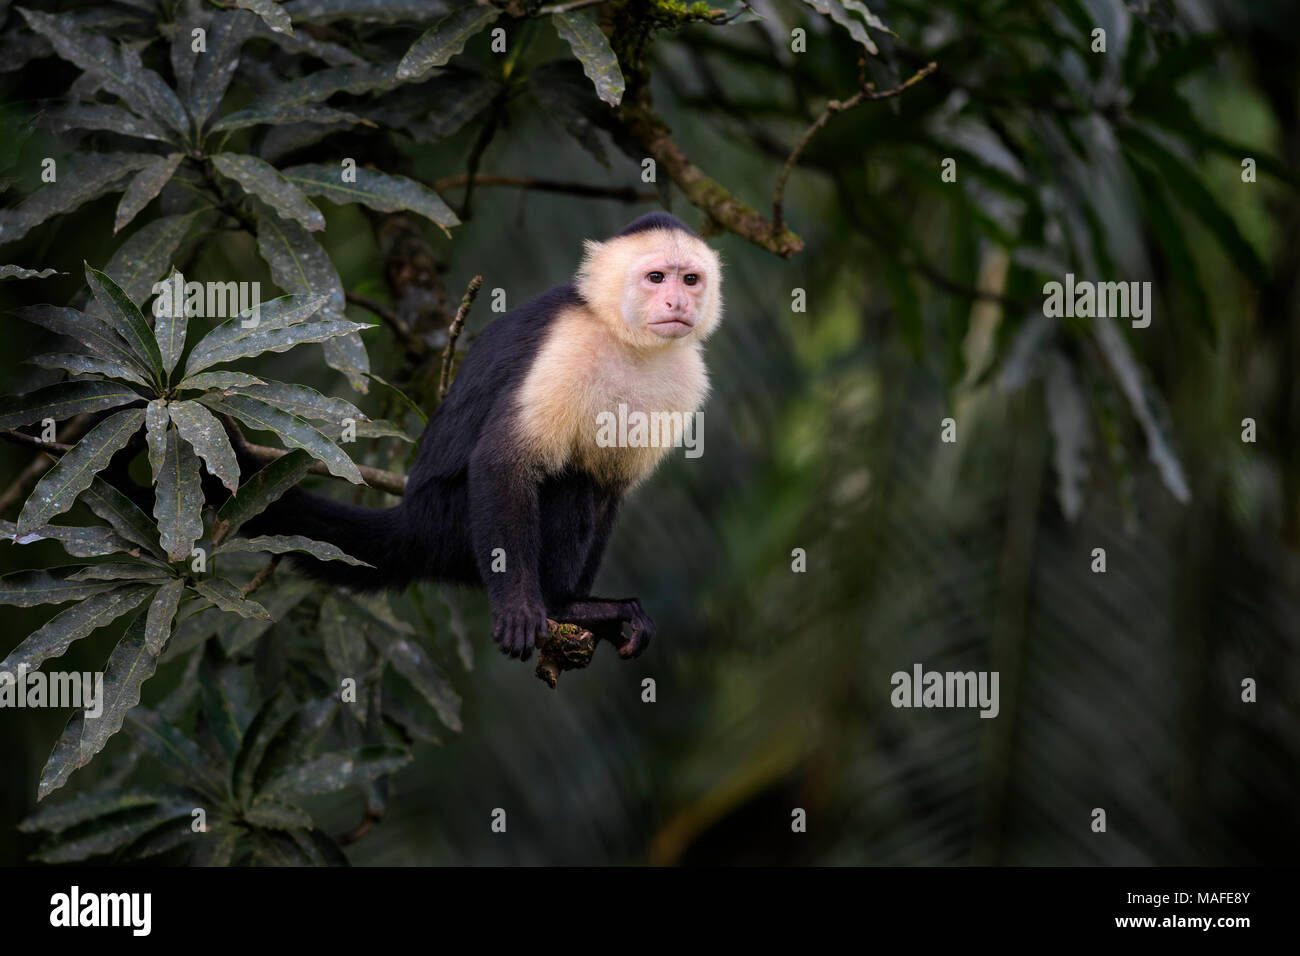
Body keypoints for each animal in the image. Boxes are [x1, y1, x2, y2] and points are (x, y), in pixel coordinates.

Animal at [248, 214, 728, 665]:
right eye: (656, 278)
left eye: (690, 279)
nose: (677, 301)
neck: (625, 337)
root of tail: (413, 521)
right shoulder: (569, 344)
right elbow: (505, 463)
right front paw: (523, 607)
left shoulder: (686, 378)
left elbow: (611, 486)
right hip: (453, 524)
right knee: (567, 481)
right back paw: (563, 606)